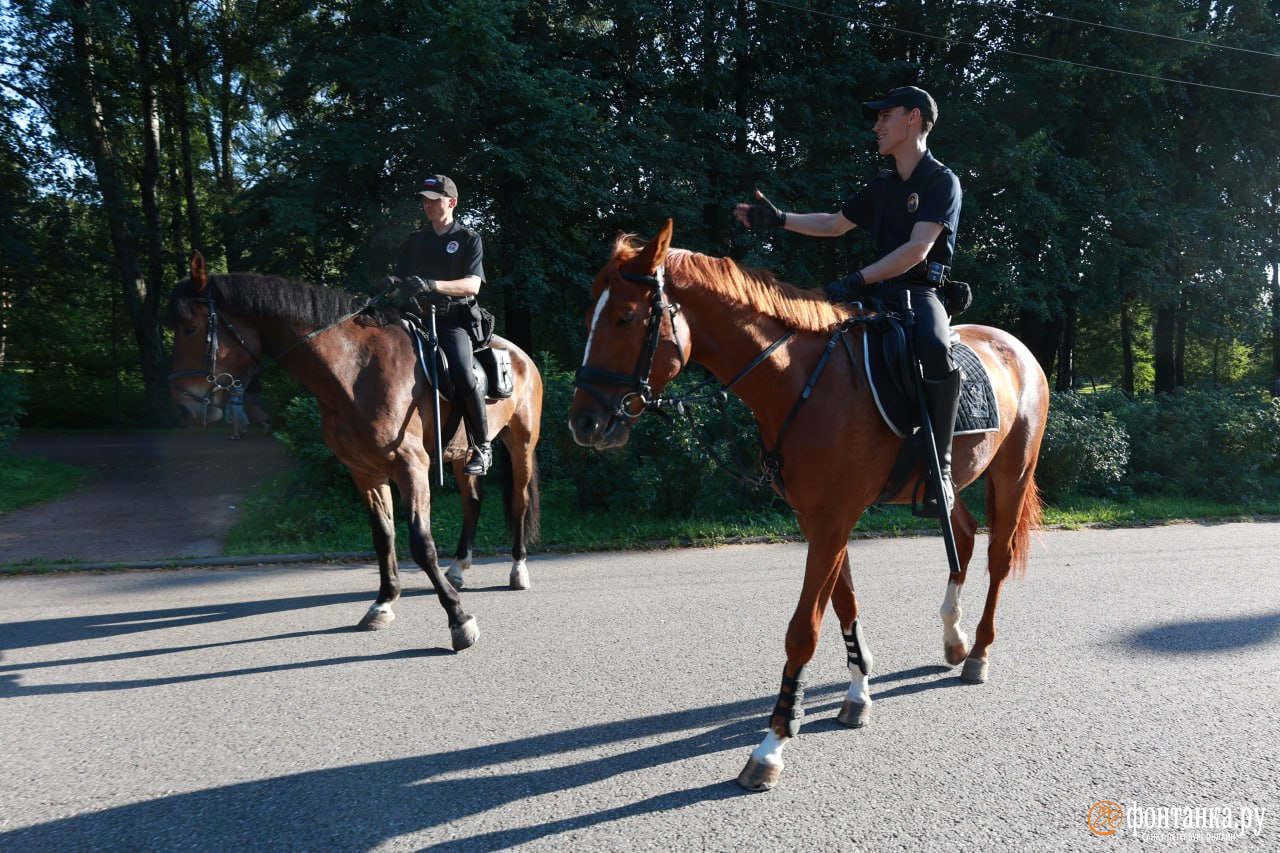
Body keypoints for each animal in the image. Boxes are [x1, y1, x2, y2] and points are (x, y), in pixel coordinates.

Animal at [167, 253, 542, 650]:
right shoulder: (365, 470)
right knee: (472, 502)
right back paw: (458, 568)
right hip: (459, 456)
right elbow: (383, 536)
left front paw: (459, 619)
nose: (184, 409)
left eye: (190, 328)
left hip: (522, 445)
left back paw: (518, 569)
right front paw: (383, 603)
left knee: (518, 502)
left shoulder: (411, 465)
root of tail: (521, 356)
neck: (353, 372)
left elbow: (420, 543)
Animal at [573, 217, 1049, 783]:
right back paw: (953, 638)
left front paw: (772, 743)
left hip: (1012, 472)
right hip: (945, 488)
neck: (799, 381)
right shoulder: (819, 519)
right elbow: (845, 604)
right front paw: (858, 693)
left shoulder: (832, 520)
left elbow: (803, 629)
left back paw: (978, 651)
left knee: (998, 557)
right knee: (966, 536)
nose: (584, 422)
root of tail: (1015, 345)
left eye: (625, 318)